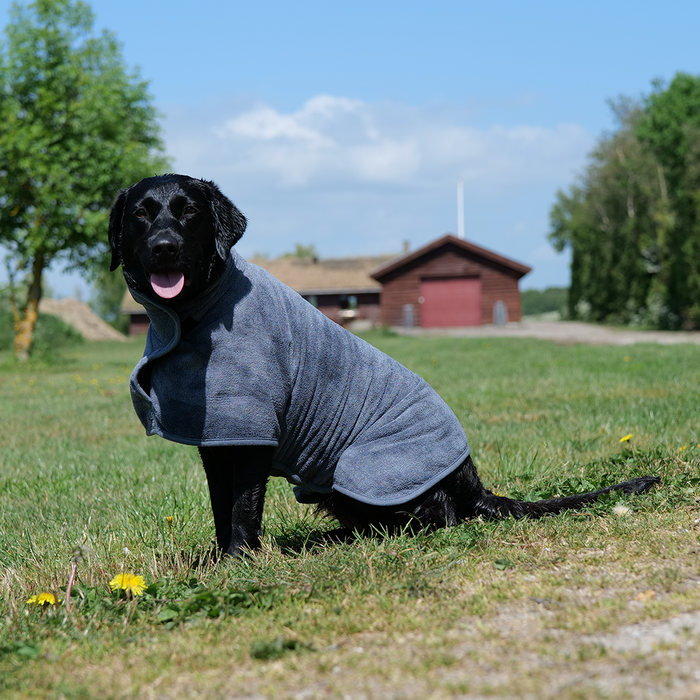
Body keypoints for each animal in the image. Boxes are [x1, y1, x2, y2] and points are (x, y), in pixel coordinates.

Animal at [106, 175, 660, 556]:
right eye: (141, 214)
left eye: (190, 213)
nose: (164, 247)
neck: (194, 315)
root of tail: (472, 479)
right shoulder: (217, 437)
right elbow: (222, 506)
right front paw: (219, 559)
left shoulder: (251, 433)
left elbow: (242, 506)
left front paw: (239, 560)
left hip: (363, 472)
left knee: (434, 515)